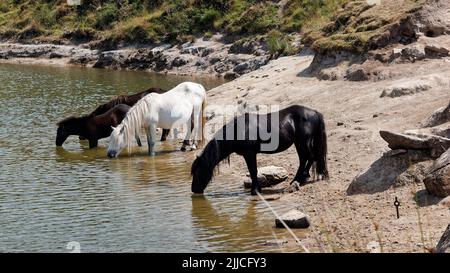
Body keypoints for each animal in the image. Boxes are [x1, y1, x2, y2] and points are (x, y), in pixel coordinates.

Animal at [190, 104, 326, 196]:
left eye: (197, 172)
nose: (194, 190)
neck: (239, 130)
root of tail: (314, 112)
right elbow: (253, 171)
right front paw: (257, 189)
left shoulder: (249, 153)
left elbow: (253, 171)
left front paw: (255, 191)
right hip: (299, 143)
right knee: (304, 159)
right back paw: (297, 179)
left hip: (303, 142)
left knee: (310, 157)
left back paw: (301, 178)